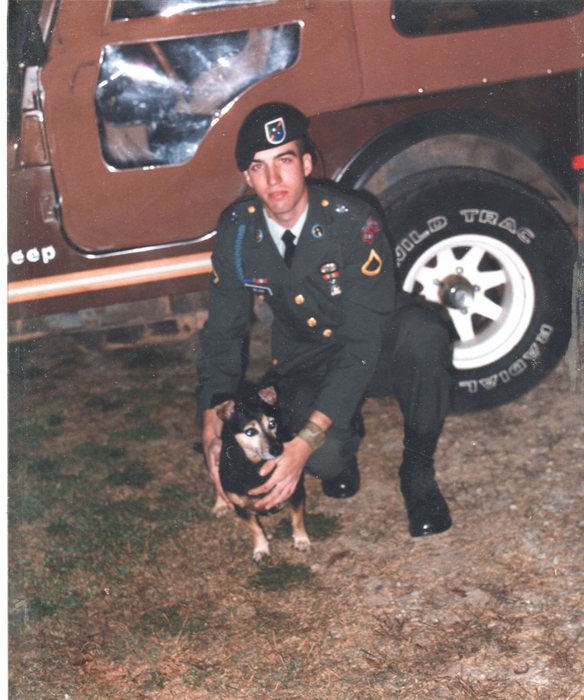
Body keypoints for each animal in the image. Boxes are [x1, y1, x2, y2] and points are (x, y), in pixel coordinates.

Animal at [212, 383, 311, 561]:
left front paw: (301, 540)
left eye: (272, 424)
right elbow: (256, 528)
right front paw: (261, 549)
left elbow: (297, 518)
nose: (277, 449)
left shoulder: (295, 491)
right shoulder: (240, 507)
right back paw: (220, 504)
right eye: (250, 432)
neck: (255, 466)